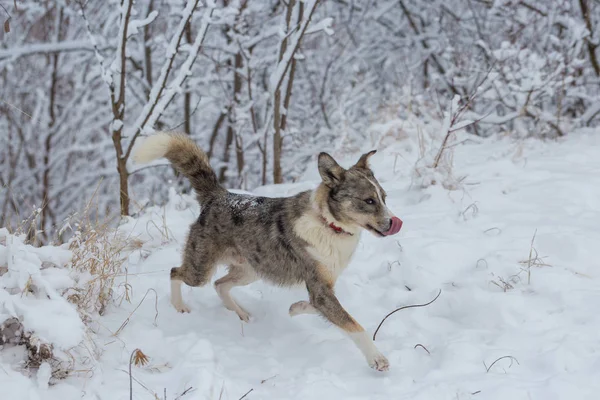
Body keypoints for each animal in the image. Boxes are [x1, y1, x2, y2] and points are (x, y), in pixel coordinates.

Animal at [132, 133, 404, 370]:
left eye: (384, 197)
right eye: (369, 201)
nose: (395, 222)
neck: (328, 223)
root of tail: (218, 196)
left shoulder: (323, 287)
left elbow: (314, 306)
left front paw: (295, 308)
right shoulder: (320, 289)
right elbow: (353, 325)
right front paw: (377, 358)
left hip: (251, 270)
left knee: (220, 284)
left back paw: (240, 313)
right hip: (201, 269)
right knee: (176, 272)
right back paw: (180, 307)